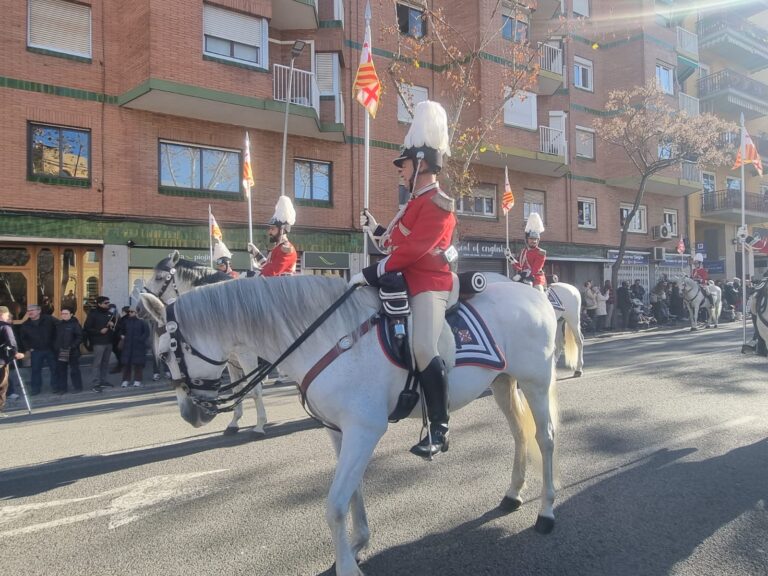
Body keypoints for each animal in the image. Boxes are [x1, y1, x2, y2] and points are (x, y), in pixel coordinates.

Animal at [140, 252, 268, 436]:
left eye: (159, 277)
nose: (138, 308)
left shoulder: (247, 355)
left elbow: (255, 389)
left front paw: (260, 424)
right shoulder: (231, 359)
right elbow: (238, 389)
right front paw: (234, 422)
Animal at [140, 274, 560, 576]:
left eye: (164, 353)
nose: (189, 414)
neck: (331, 337)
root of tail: (534, 293)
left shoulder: (364, 429)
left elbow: (334, 504)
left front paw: (346, 566)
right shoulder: (339, 430)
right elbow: (352, 493)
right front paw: (358, 543)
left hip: (536, 383)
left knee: (545, 439)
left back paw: (546, 513)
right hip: (503, 382)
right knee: (520, 436)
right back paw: (512, 495)